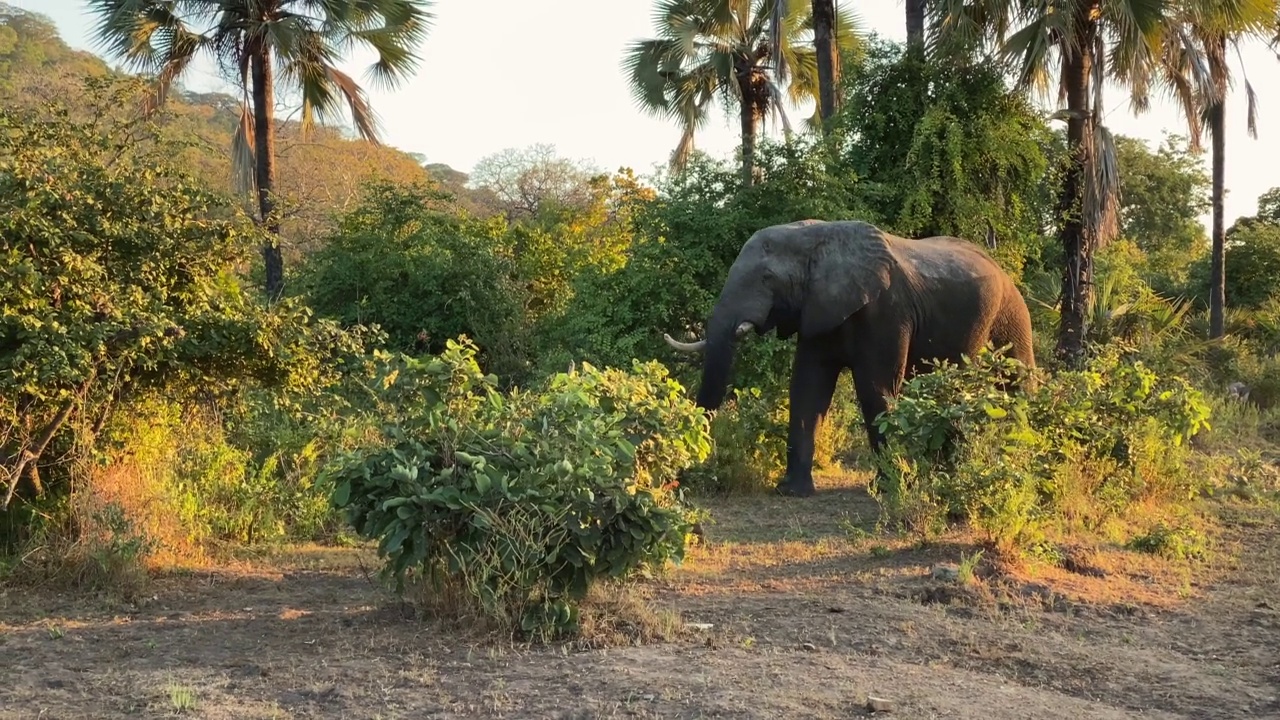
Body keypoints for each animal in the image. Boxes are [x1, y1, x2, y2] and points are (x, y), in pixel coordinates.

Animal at [665, 219, 1034, 497]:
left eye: (767, 278)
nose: (685, 478)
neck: (817, 238)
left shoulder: (887, 311)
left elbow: (876, 389)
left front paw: (888, 486)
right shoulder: (817, 309)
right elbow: (807, 388)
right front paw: (791, 492)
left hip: (1011, 311)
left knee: (1017, 383)